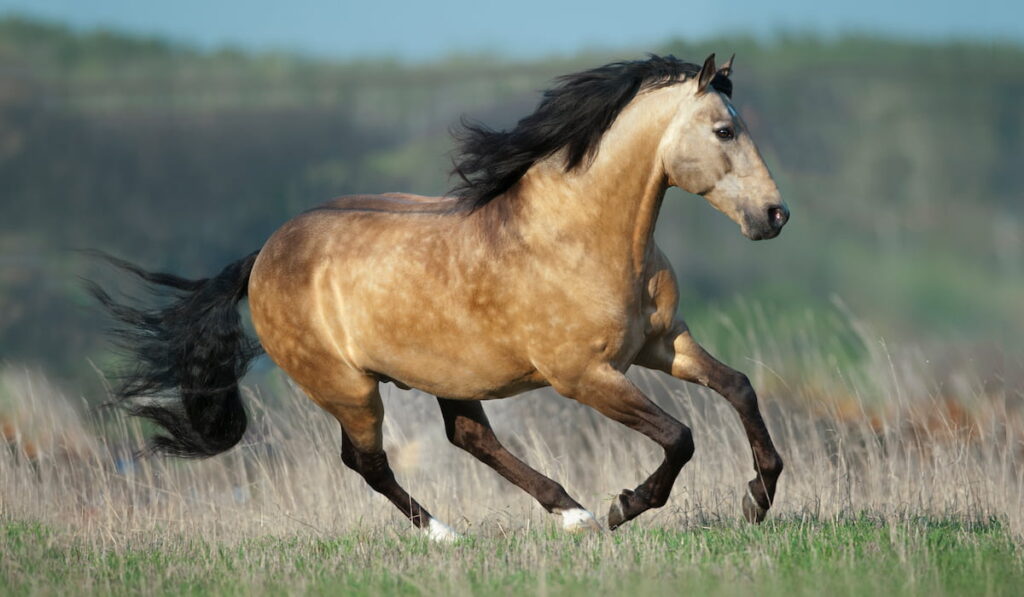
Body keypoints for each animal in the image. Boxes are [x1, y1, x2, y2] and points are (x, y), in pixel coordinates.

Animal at [92, 54, 786, 540]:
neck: (580, 235)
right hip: (349, 388)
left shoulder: (663, 343)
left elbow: (739, 388)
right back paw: (452, 533)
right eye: (724, 131)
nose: (774, 216)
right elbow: (679, 436)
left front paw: (758, 498)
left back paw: (570, 513)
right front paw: (627, 506)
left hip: (450, 374)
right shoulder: (584, 375)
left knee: (467, 438)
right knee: (367, 461)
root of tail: (262, 256)